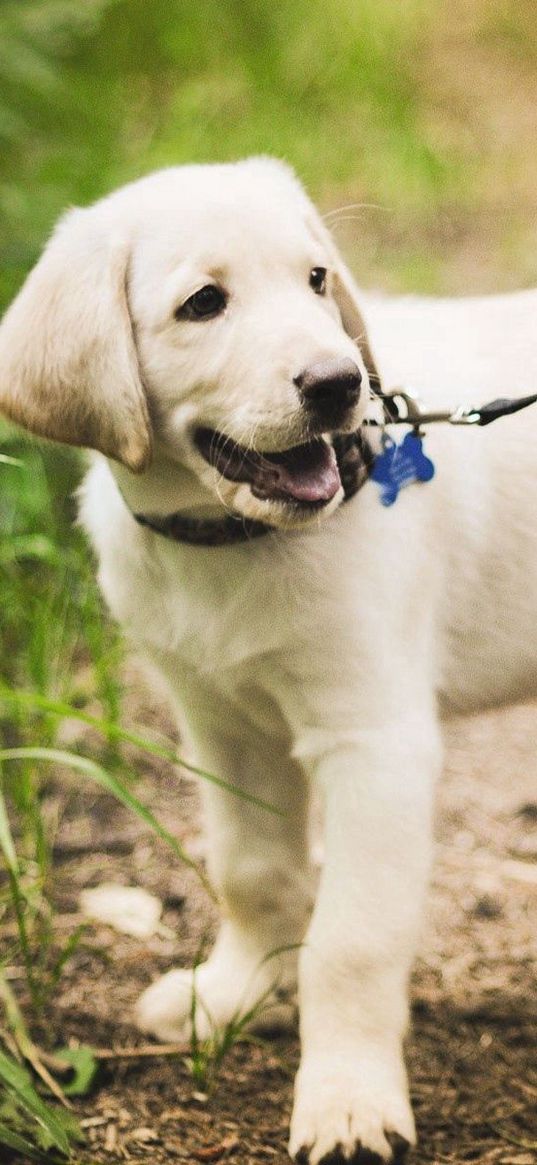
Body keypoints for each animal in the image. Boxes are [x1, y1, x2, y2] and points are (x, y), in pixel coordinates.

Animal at [1, 157, 535, 1165]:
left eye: (317, 280)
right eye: (203, 304)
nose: (337, 382)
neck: (226, 543)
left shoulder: (373, 742)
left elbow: (352, 940)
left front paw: (347, 1099)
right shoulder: (221, 721)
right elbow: (251, 871)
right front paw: (238, 996)